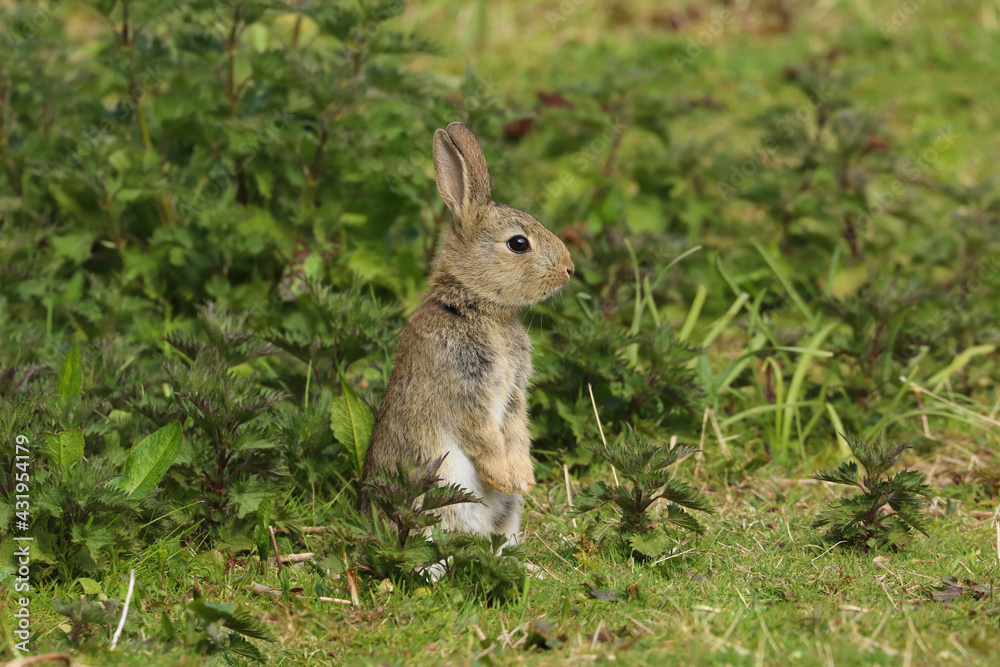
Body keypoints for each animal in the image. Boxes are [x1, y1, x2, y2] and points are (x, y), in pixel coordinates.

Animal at [360, 121, 574, 547]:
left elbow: (517, 429)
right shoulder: (464, 389)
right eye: (518, 243)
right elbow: (483, 435)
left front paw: (522, 477)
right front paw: (507, 476)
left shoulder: (513, 394)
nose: (569, 268)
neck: (478, 308)